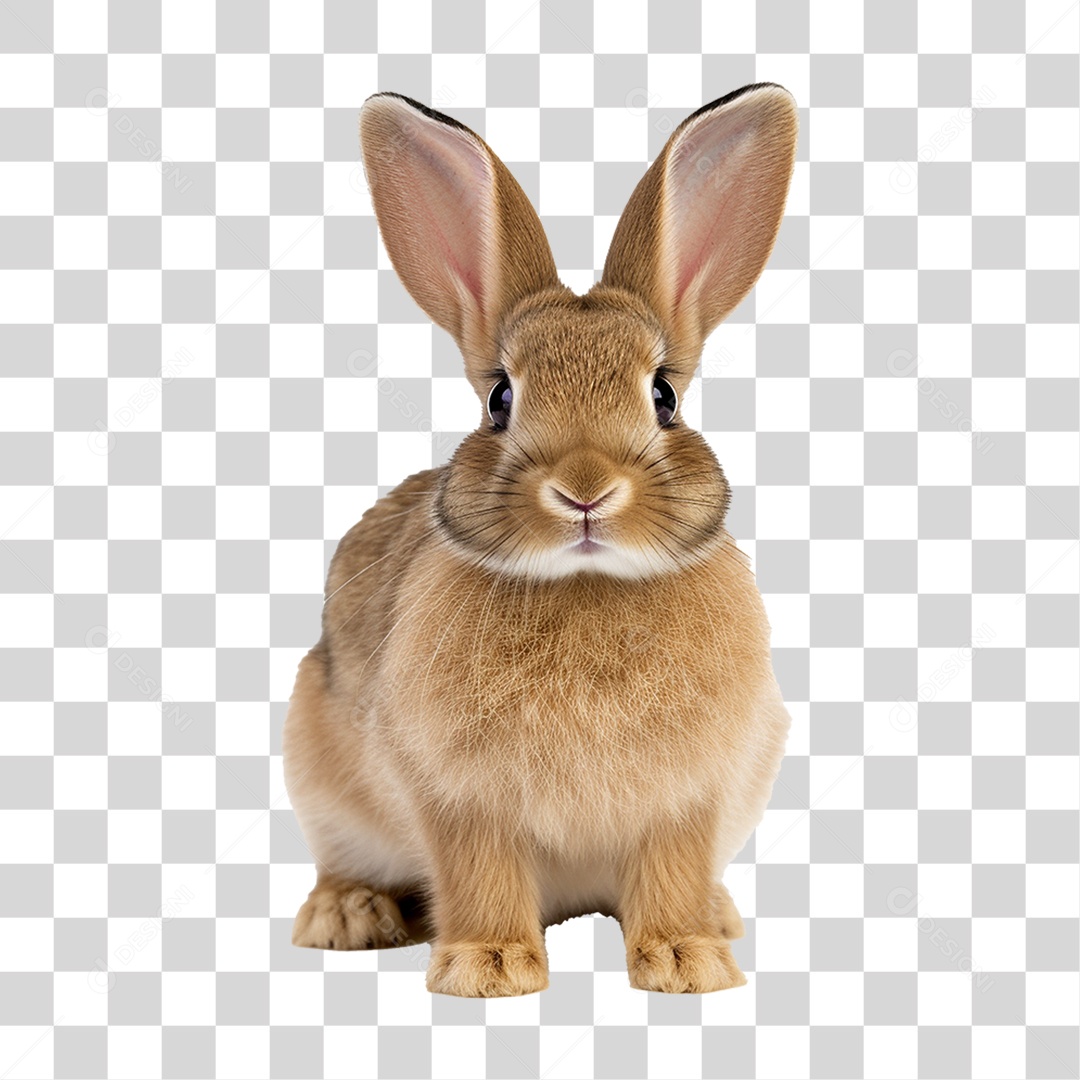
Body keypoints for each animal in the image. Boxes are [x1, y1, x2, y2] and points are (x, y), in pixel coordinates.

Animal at [283, 82, 798, 997]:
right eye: (500, 399)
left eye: (664, 397)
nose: (584, 490)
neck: (585, 583)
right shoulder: (460, 797)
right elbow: (481, 873)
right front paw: (488, 969)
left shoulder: (688, 797)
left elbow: (670, 870)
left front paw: (687, 961)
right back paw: (347, 916)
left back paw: (720, 916)